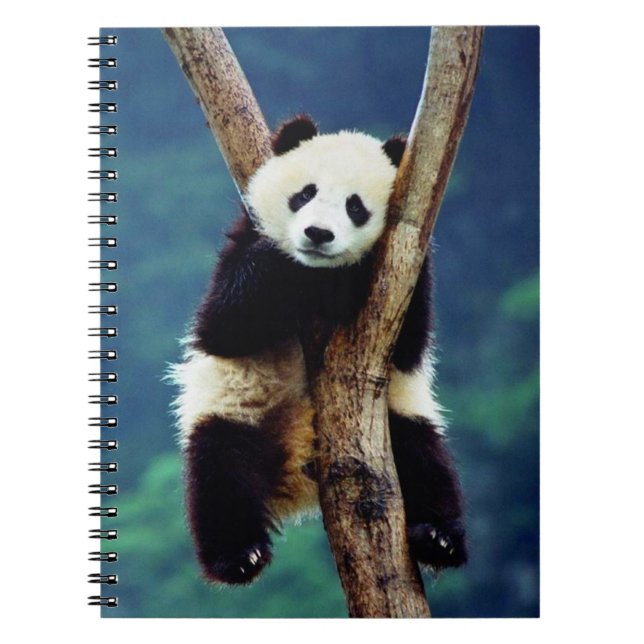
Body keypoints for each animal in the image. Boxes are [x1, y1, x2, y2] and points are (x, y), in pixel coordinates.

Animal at [171, 115, 467, 585]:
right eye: (305, 194)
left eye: (355, 207)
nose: (317, 234)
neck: (318, 274)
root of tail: (296, 473)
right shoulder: (242, 241)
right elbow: (223, 324)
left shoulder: (404, 272)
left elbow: (409, 346)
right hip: (233, 408)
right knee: (220, 473)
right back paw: (239, 556)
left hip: (398, 420)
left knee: (425, 461)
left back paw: (439, 538)